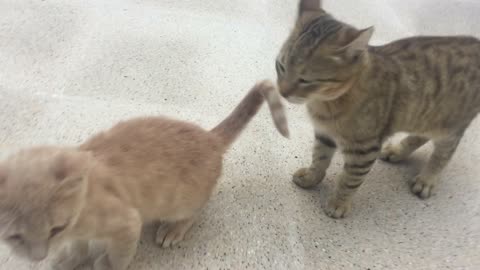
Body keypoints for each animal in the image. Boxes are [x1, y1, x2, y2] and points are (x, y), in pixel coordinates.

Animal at [0, 80, 288, 270]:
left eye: (55, 229)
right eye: (14, 237)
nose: (38, 256)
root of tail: (209, 137)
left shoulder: (127, 222)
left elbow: (118, 256)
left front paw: (104, 264)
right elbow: (78, 245)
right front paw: (71, 258)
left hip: (181, 202)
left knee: (194, 212)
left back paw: (173, 230)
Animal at [276, 0, 480, 218]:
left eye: (306, 80)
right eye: (281, 66)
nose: (282, 92)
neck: (326, 103)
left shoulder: (364, 149)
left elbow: (350, 180)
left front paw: (339, 203)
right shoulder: (325, 134)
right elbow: (319, 159)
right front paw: (311, 177)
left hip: (450, 126)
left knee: (444, 153)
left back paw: (426, 179)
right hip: (425, 115)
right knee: (421, 135)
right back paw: (398, 151)